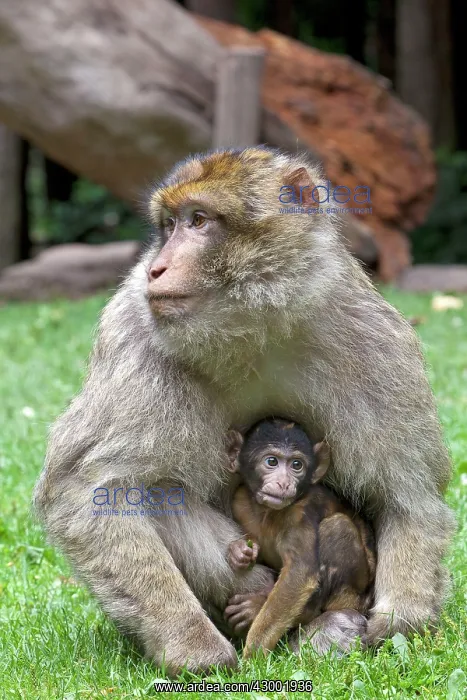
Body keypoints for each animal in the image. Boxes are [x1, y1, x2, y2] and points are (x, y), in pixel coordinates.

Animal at [223, 419, 376, 657]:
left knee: (337, 527)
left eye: (297, 465)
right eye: (271, 461)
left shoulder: (300, 512)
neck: (267, 513)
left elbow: (299, 574)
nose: (284, 483)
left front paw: (253, 655)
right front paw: (240, 551)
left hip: (353, 597)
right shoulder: (239, 500)